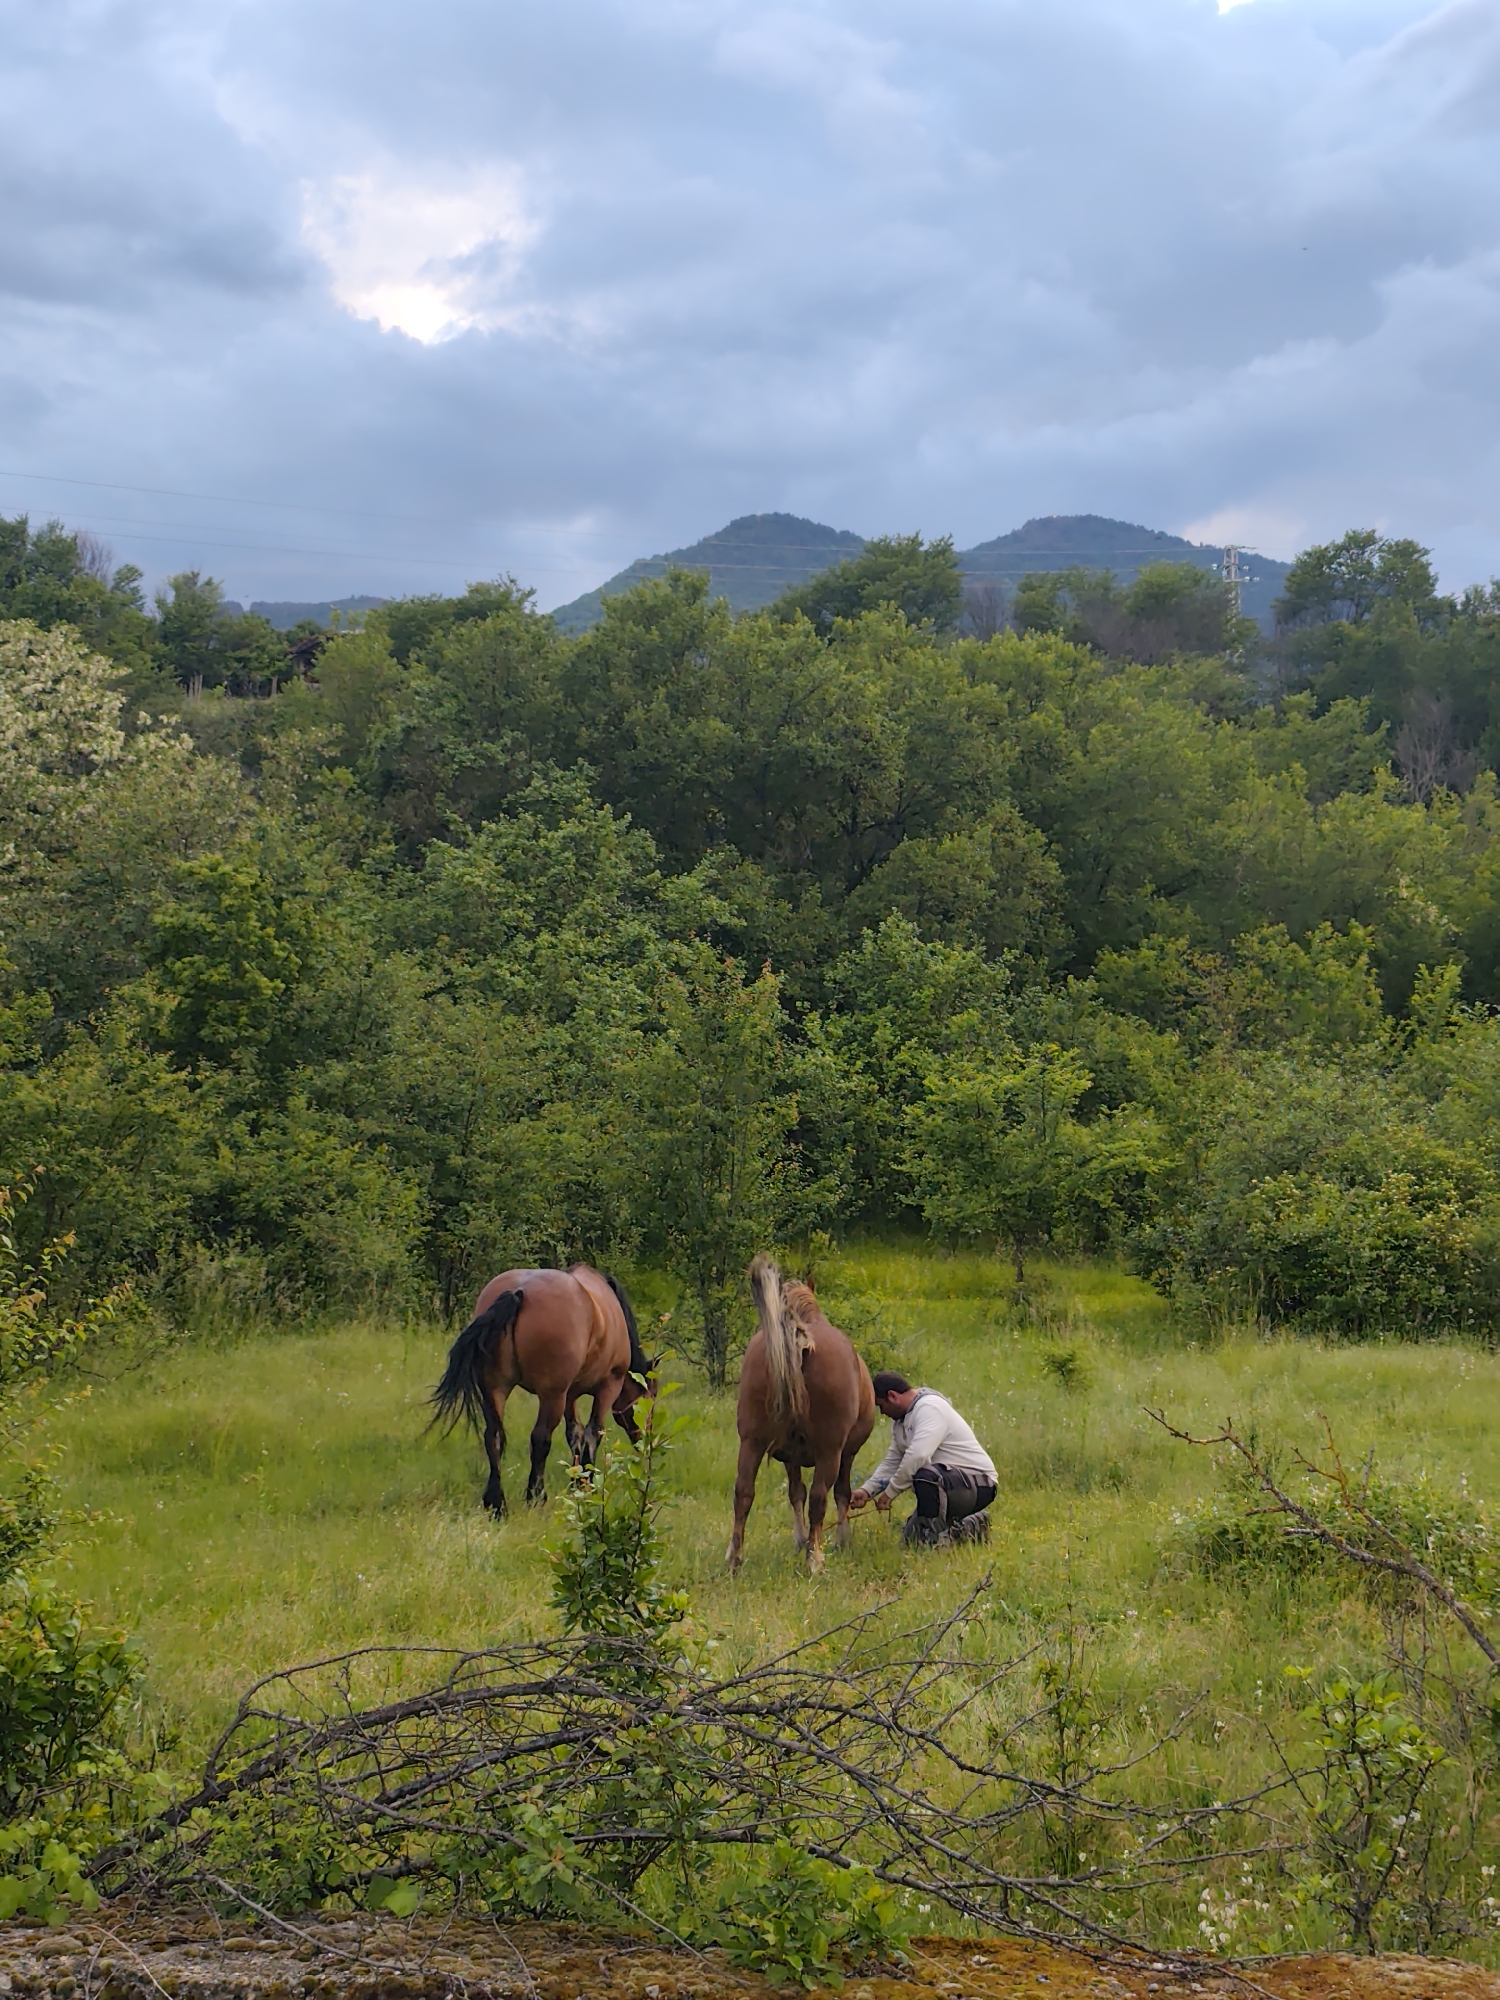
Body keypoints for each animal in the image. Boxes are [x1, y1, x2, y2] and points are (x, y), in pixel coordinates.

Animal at [431, 1265, 652, 1514]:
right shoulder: (607, 1386)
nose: (645, 1441)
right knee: (540, 1439)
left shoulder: (570, 1394)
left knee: (493, 1437)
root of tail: (519, 1292)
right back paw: (536, 1496)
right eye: (649, 1399)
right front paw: (587, 1482)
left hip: (496, 1388)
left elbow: (574, 1434)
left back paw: (496, 1503)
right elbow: (592, 1433)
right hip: (551, 1395)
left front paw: (577, 1481)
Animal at [727, 1255, 876, 1574]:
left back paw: (734, 1558)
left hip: (751, 1442)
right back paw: (814, 1559)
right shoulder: (844, 1453)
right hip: (830, 1451)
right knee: (820, 1497)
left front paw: (799, 1538)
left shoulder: (789, 1456)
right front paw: (840, 1539)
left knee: (743, 1492)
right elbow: (840, 1493)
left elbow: (796, 1492)